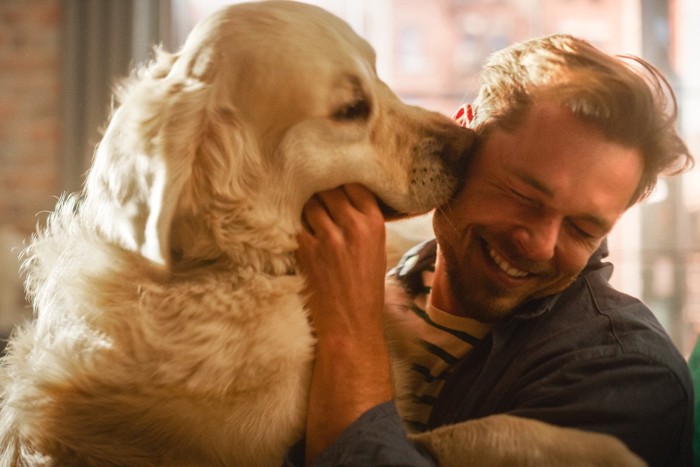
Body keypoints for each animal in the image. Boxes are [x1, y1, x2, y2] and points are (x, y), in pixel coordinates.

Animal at [0, 1, 644, 466]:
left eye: (379, 74)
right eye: (352, 108)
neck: (241, 263)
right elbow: (476, 433)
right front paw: (609, 449)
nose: (469, 148)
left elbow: (482, 429)